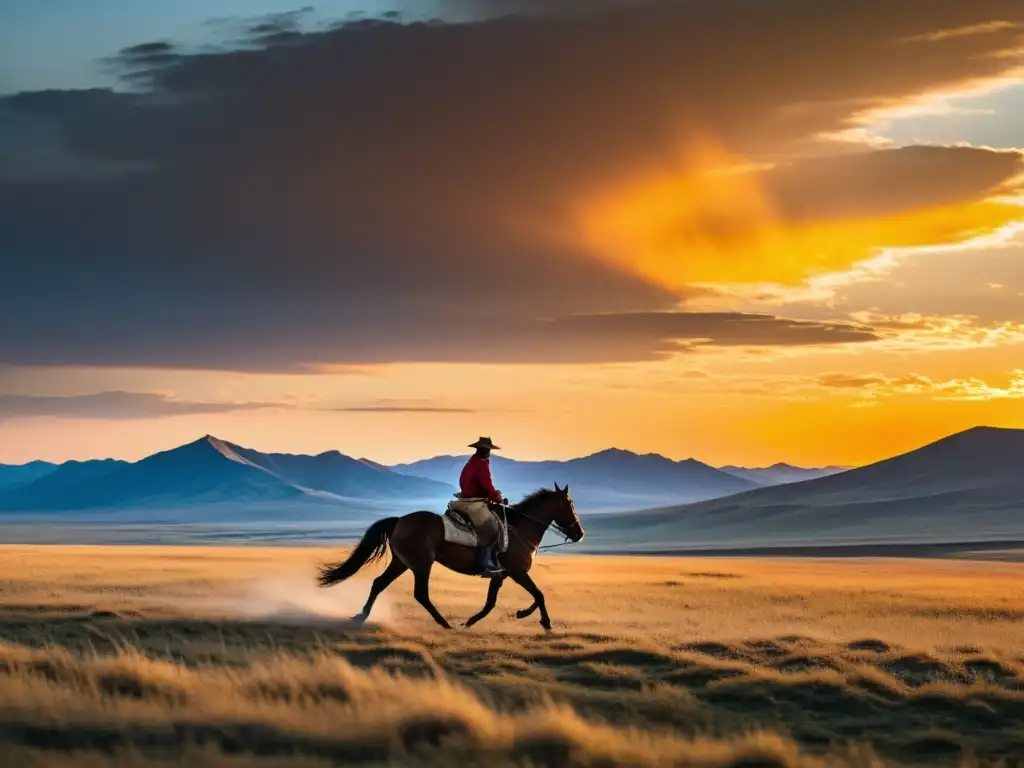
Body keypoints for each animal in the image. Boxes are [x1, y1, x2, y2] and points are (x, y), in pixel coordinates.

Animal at [315, 487, 585, 630]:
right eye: (570, 505)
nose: (579, 533)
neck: (521, 528)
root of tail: (399, 520)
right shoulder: (518, 572)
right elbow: (539, 594)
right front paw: (544, 622)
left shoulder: (500, 575)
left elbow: (491, 603)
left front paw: (475, 621)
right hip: (421, 564)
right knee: (421, 594)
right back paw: (444, 623)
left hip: (401, 563)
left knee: (379, 583)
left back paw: (361, 615)